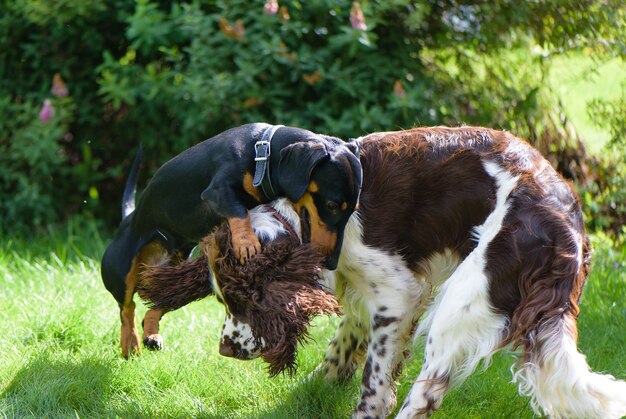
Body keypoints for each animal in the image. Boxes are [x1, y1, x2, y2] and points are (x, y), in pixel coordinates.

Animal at [99, 123, 358, 360]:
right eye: (332, 205)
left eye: (352, 210)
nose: (332, 262)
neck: (262, 153)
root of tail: (129, 217)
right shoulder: (217, 191)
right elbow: (238, 211)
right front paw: (247, 244)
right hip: (119, 273)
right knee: (127, 308)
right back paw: (131, 343)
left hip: (173, 274)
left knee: (155, 306)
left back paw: (151, 335)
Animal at [211, 128, 624, 419]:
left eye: (241, 299)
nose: (224, 349)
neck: (304, 220)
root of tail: (567, 223)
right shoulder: (380, 296)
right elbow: (344, 345)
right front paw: (317, 388)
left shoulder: (398, 295)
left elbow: (374, 379)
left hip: (462, 302)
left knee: (427, 391)